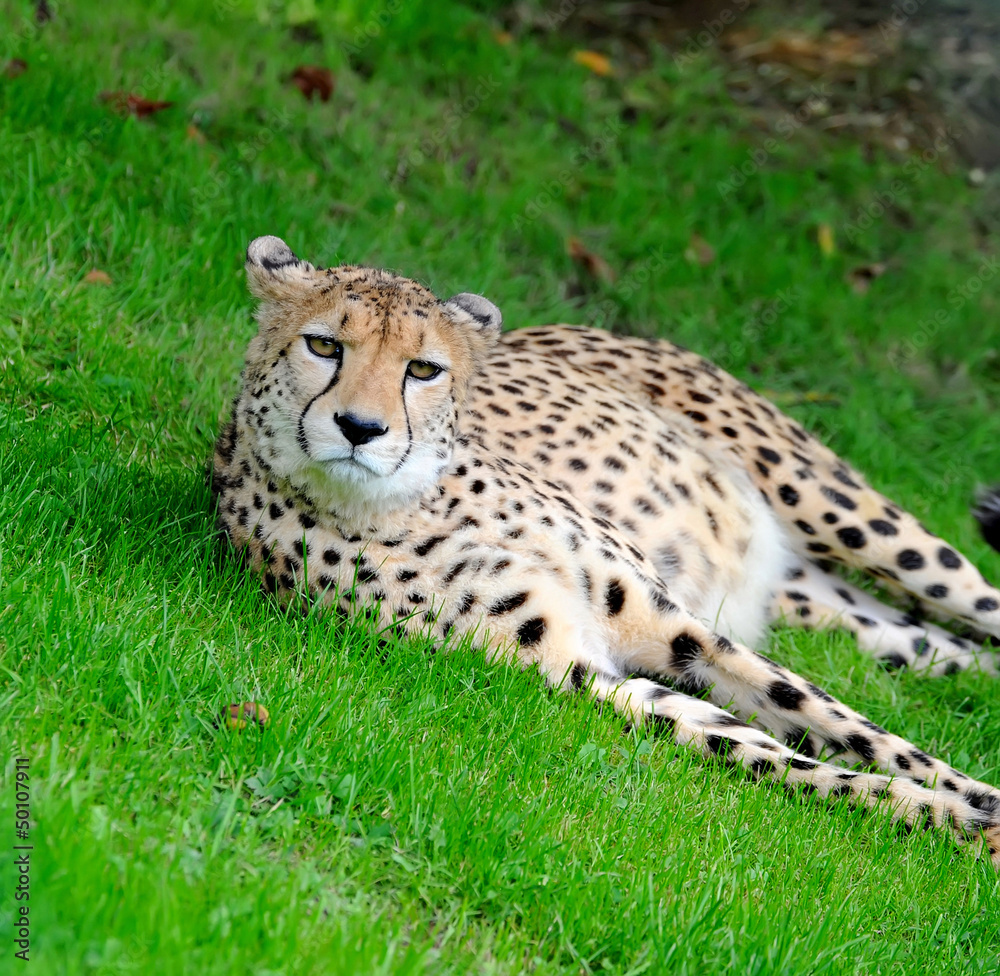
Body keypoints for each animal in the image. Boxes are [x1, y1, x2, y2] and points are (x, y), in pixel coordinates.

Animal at [214, 235, 1000, 867]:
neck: (409, 504)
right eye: (324, 346)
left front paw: (976, 801)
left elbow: (858, 730)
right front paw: (956, 821)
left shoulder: (681, 627)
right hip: (819, 600)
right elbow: (769, 752)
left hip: (842, 511)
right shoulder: (584, 675)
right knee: (934, 644)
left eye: (423, 370)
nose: (360, 428)